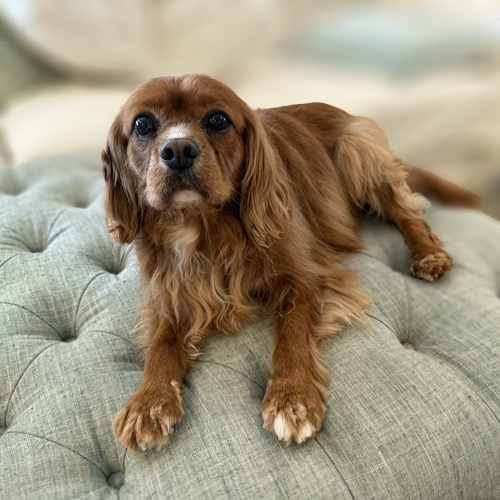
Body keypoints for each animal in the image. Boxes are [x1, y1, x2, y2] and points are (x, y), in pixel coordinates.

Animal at [102, 74, 480, 451]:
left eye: (218, 120)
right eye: (142, 125)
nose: (179, 150)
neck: (204, 228)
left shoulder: (306, 279)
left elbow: (292, 335)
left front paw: (291, 396)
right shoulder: (172, 297)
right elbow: (161, 345)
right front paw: (148, 403)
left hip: (357, 150)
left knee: (405, 211)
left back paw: (427, 253)